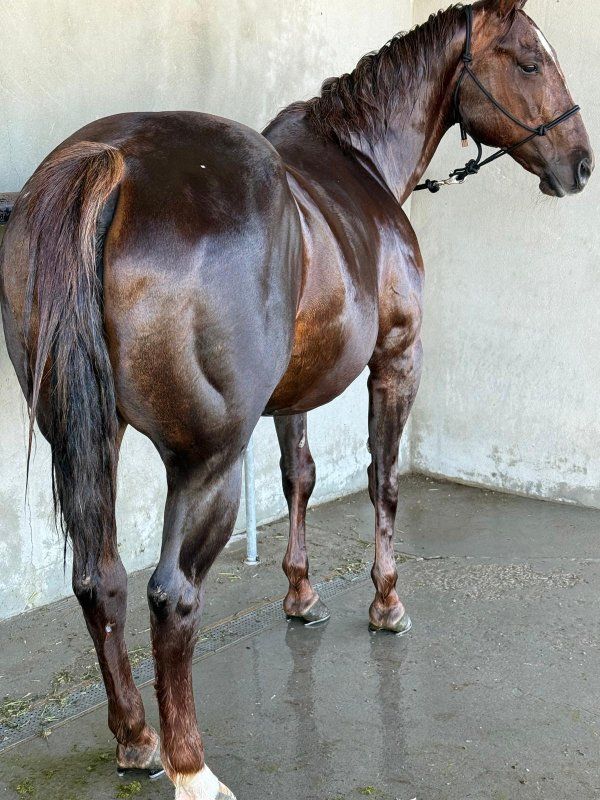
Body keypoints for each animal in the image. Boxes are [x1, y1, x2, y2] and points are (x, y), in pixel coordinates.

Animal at [0, 1, 592, 797]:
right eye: (529, 60)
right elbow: (383, 481)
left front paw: (301, 595)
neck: (361, 165)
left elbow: (300, 478)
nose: (580, 163)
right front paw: (386, 602)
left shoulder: (294, 390)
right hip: (207, 460)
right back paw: (192, 767)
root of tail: (111, 165)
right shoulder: (396, 360)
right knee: (170, 594)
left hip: (86, 440)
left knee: (101, 581)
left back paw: (136, 739)